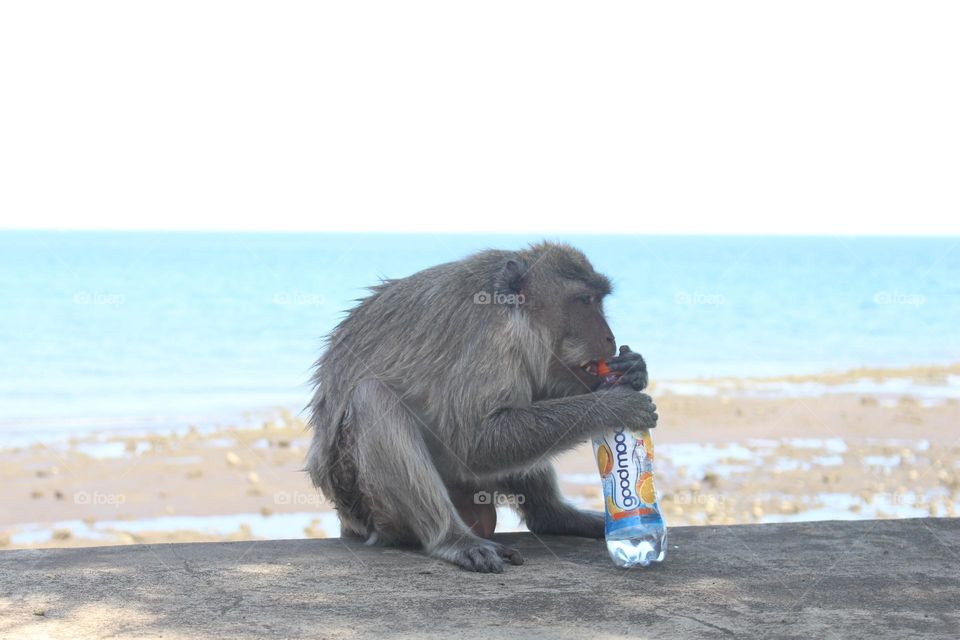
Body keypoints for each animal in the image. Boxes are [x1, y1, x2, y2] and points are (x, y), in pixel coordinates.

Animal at [306, 242, 657, 573]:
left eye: (599, 300)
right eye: (585, 301)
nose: (610, 338)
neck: (515, 314)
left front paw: (633, 369)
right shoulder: (490, 339)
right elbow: (474, 441)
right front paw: (614, 404)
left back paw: (554, 516)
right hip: (365, 500)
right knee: (371, 396)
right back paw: (451, 538)